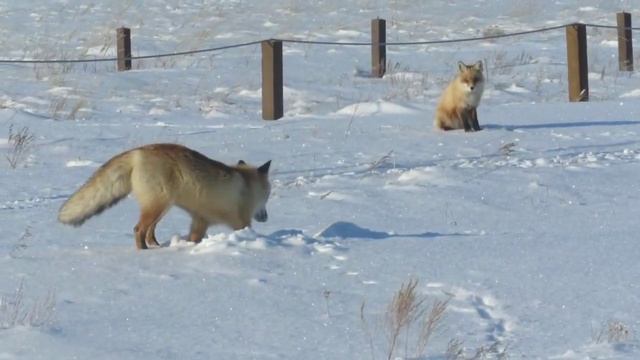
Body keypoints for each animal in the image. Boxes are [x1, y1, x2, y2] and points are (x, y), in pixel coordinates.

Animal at [57, 143, 272, 250]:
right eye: (268, 195)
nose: (266, 217)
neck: (246, 185)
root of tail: (139, 151)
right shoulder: (241, 222)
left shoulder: (200, 220)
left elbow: (194, 238)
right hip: (157, 205)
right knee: (138, 229)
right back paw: (143, 252)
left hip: (162, 207)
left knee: (149, 232)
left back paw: (157, 247)